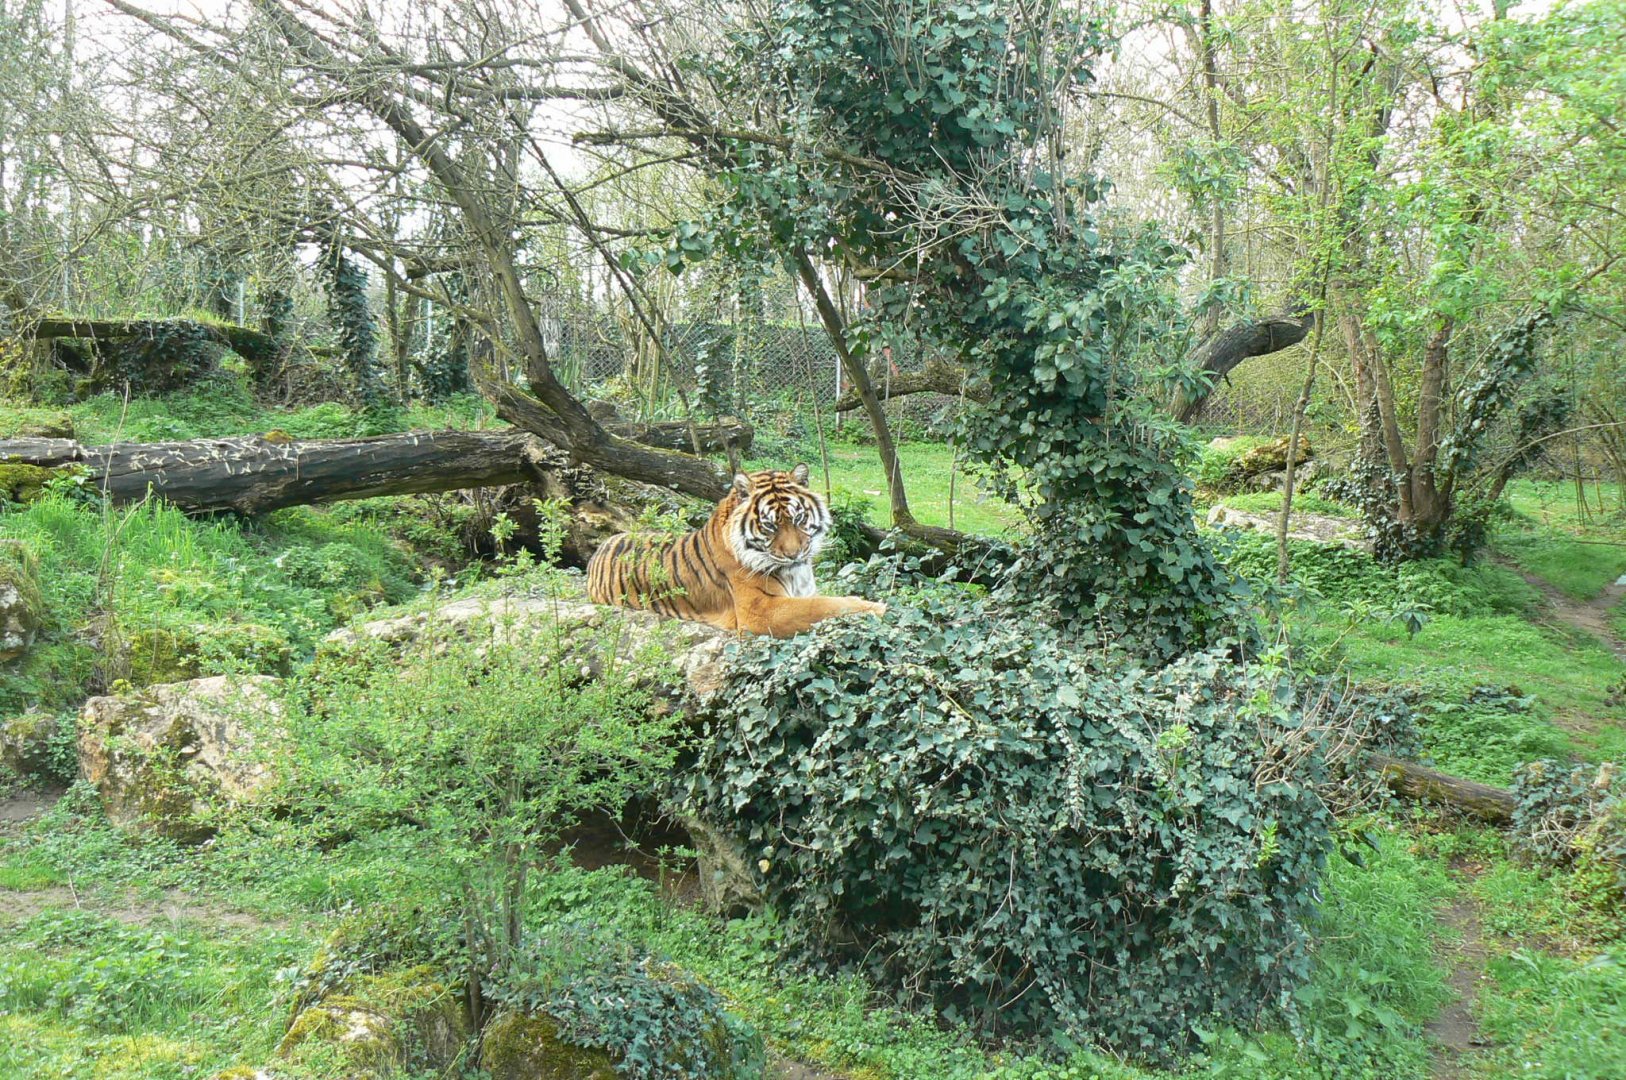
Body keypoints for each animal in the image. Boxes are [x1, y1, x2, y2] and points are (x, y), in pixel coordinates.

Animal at [586, 463, 886, 637]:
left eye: (798, 518)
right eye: (770, 525)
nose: (795, 555)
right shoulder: (761, 610)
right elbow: (824, 606)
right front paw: (878, 608)